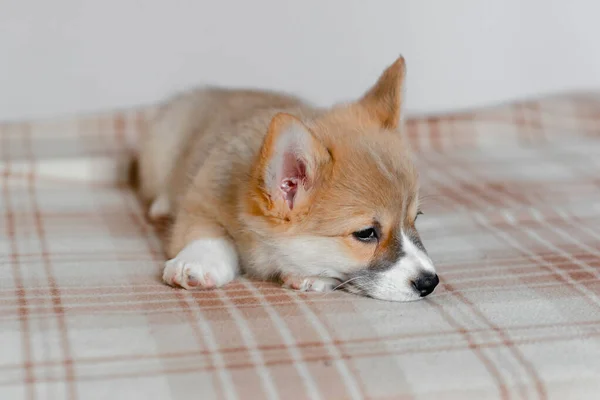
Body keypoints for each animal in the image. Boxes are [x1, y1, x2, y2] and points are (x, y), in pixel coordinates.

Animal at [141, 55, 440, 300]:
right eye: (366, 233)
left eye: (416, 217)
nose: (430, 282)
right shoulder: (200, 201)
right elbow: (206, 233)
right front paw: (197, 263)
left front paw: (311, 277)